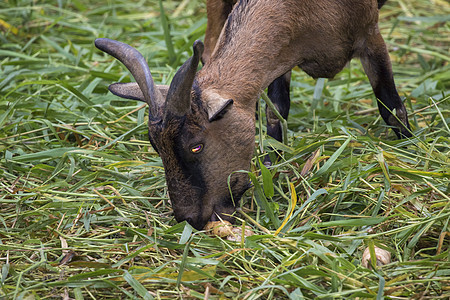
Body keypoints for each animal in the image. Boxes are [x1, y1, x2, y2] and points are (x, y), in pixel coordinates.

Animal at [95, 0, 412, 230]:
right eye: (155, 146)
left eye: (196, 146)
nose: (192, 220)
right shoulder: (280, 56)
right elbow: (275, 116)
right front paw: (273, 170)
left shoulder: (370, 33)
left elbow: (391, 107)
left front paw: (411, 149)